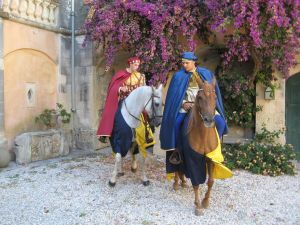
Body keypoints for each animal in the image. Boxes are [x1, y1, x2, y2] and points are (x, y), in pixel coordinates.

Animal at [173, 76, 220, 215]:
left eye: (215, 97)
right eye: (200, 97)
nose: (209, 120)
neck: (203, 135)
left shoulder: (211, 157)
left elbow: (210, 181)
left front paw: (206, 201)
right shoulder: (193, 158)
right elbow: (196, 181)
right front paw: (198, 205)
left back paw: (183, 182)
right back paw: (176, 183)